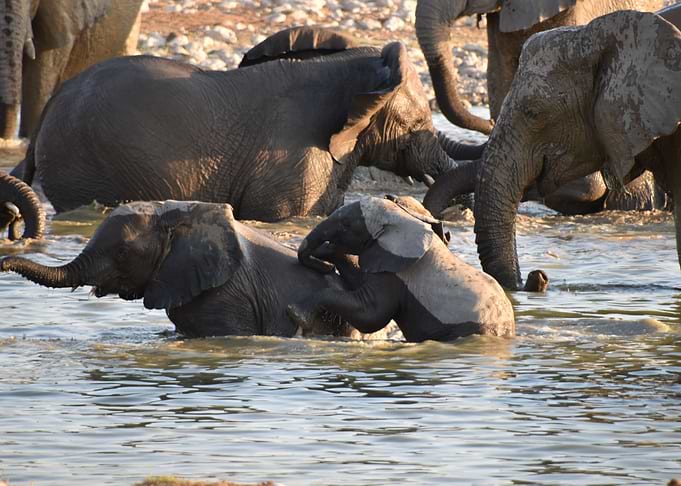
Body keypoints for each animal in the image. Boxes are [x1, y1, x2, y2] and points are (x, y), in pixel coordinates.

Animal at [287, 195, 518, 342]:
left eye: (346, 225)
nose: (325, 268)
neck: (402, 218)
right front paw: (328, 253)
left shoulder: (396, 272)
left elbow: (372, 315)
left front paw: (297, 312)